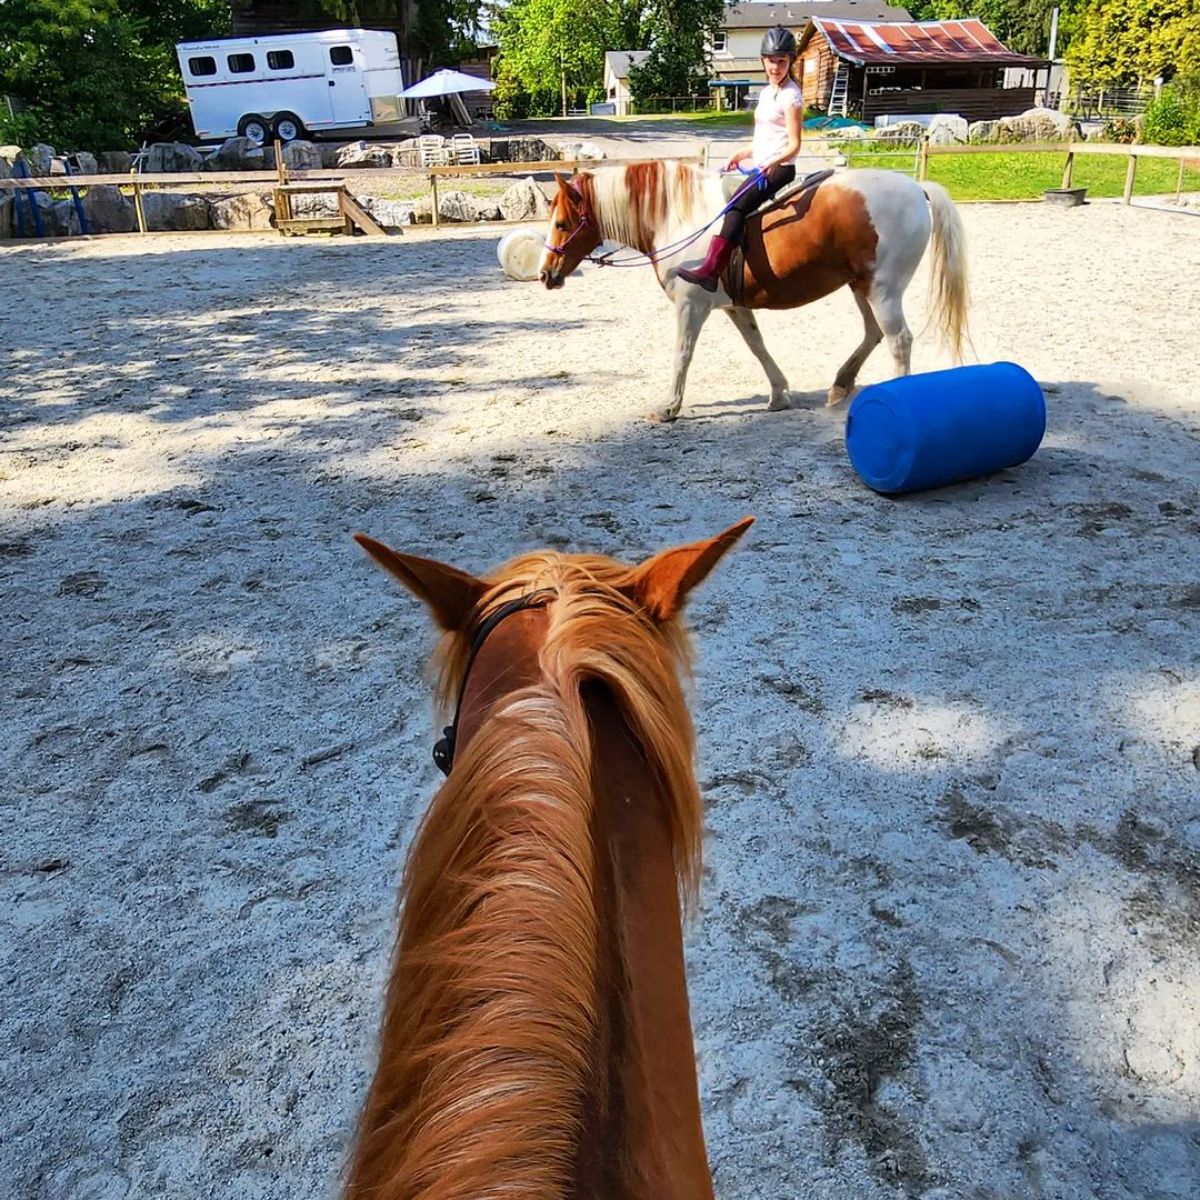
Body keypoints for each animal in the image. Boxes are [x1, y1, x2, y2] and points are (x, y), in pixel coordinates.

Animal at [540, 159, 969, 422]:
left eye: (561, 223)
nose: (546, 274)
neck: (680, 218)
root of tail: (916, 188)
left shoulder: (691, 306)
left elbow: (682, 354)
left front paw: (670, 407)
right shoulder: (734, 306)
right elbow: (756, 345)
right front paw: (779, 394)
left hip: (883, 289)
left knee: (899, 340)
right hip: (860, 285)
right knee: (874, 333)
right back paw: (841, 385)